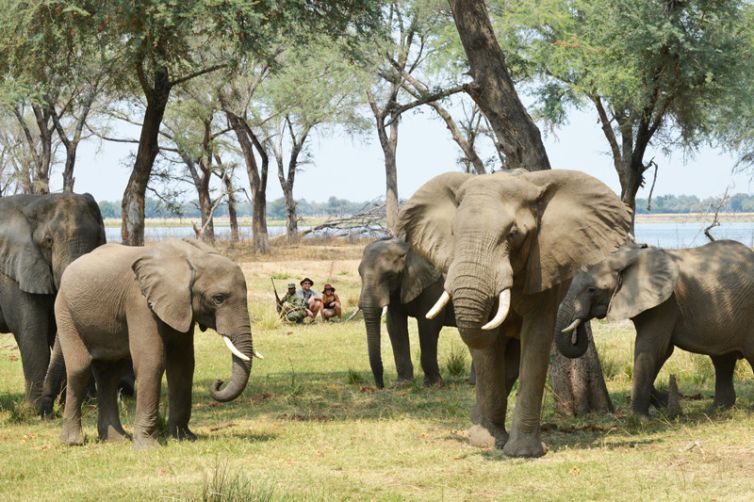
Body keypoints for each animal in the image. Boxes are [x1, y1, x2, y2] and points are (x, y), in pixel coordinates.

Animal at [0, 193, 106, 413]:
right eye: (48, 241)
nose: (48, 410)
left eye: (99, 238)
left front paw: (81, 405)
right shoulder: (14, 273)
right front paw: (33, 409)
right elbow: (32, 332)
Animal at [54, 238, 261, 448]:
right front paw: (147, 447)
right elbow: (151, 362)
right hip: (64, 312)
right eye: (218, 298)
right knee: (80, 369)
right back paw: (74, 442)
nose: (218, 382)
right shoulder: (140, 302)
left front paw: (185, 438)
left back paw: (116, 440)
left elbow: (183, 364)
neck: (191, 258)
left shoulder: (179, 305)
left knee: (108, 374)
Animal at [357, 238, 457, 388]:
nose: (381, 386)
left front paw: (432, 386)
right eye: (359, 273)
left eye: (390, 275)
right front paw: (402, 384)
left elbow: (428, 325)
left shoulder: (433, 285)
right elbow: (395, 326)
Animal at [398, 169, 631, 457]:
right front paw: (486, 441)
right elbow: (488, 355)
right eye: (453, 232)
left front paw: (523, 452)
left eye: (512, 234)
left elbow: (535, 340)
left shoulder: (544, 268)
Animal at [556, 240, 754, 417]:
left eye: (592, 290)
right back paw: (717, 410)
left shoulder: (666, 304)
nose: (581, 320)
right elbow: (661, 351)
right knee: (722, 359)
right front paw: (665, 402)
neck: (628, 255)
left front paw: (640, 419)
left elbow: (651, 348)